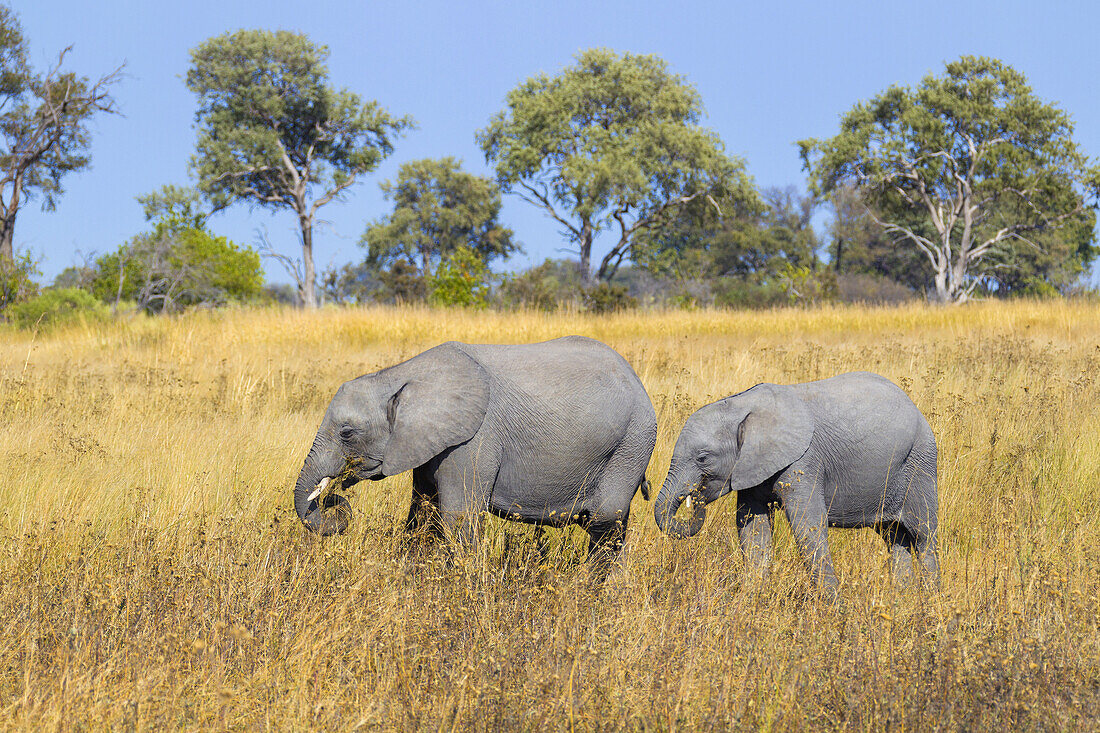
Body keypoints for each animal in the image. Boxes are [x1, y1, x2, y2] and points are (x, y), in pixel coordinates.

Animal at [292, 334, 655, 581]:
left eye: (346, 433)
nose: (332, 499)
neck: (400, 375)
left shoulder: (473, 441)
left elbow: (458, 518)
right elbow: (422, 514)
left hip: (631, 444)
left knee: (605, 522)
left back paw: (591, 590)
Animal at [651, 372, 937, 589]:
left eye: (702, 458)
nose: (695, 499)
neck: (742, 404)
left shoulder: (804, 461)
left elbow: (807, 527)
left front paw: (833, 609)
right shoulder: (752, 465)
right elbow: (753, 529)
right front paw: (753, 597)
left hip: (920, 462)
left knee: (924, 535)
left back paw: (929, 601)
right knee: (894, 538)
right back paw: (902, 598)